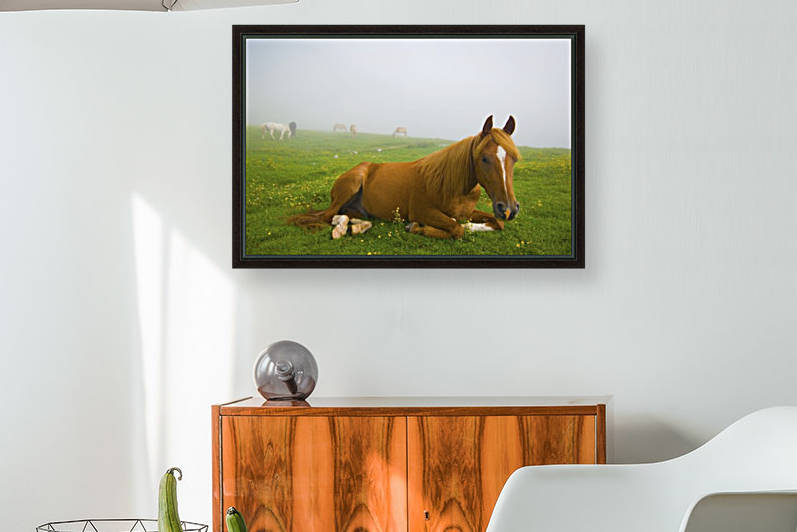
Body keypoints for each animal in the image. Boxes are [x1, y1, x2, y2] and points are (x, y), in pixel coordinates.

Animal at [289, 115, 520, 239]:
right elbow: (456, 228)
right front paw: (417, 227)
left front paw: (473, 226)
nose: (508, 209)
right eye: (484, 158)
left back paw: (357, 225)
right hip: (352, 184)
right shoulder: (423, 211)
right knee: (328, 216)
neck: (452, 187)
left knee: (342, 215)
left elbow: (493, 223)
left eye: (514, 159)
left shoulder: (469, 212)